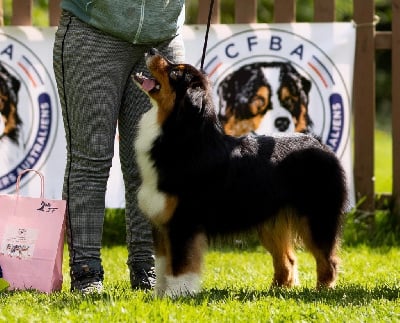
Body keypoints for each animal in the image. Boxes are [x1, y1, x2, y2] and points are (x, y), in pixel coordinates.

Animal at [134, 48, 346, 298]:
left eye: (175, 72)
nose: (151, 50)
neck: (181, 135)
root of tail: (320, 145)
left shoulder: (183, 221)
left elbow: (181, 266)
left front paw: (176, 295)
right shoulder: (161, 222)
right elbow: (162, 265)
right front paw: (158, 295)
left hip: (317, 217)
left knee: (327, 259)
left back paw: (322, 291)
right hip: (271, 221)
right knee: (288, 260)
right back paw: (276, 292)